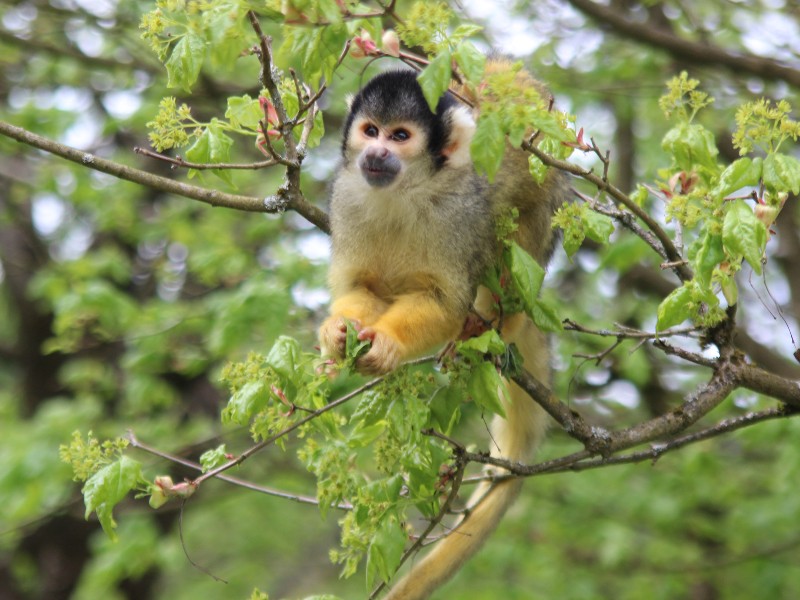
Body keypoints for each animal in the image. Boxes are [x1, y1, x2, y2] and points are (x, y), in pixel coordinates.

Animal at [316, 62, 572, 600]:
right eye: (370, 130)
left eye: (400, 136)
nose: (375, 153)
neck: (404, 191)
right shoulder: (346, 198)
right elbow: (360, 287)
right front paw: (338, 331)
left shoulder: (458, 211)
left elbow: (445, 302)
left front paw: (390, 341)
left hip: (551, 189)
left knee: (517, 237)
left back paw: (496, 325)